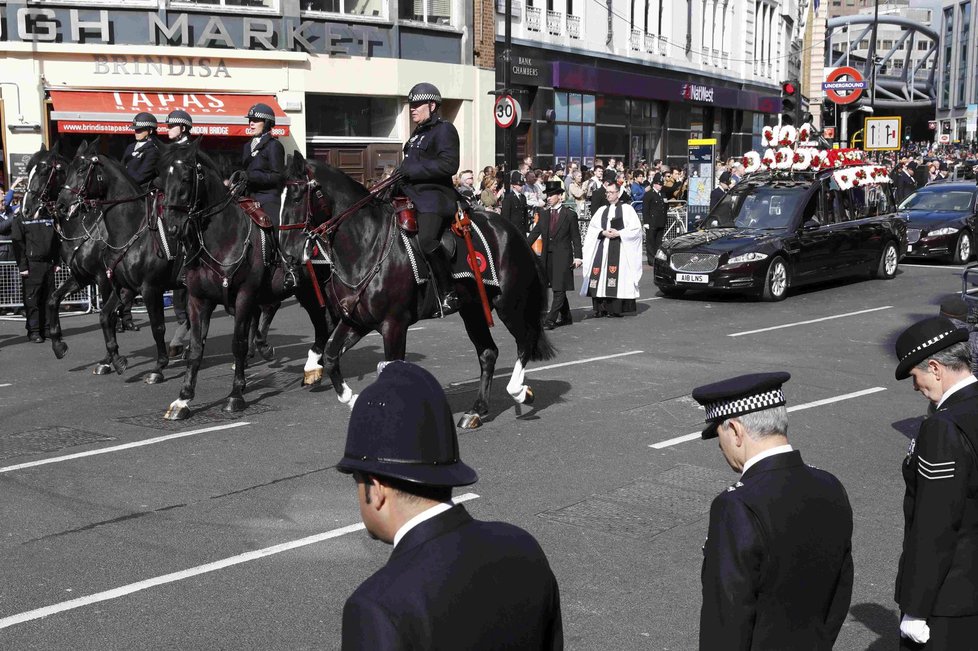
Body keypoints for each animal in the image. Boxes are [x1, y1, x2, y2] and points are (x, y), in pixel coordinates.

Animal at [158, 140, 338, 420]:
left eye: (186, 178)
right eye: (160, 180)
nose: (171, 227)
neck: (222, 237)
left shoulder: (244, 296)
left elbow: (238, 344)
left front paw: (235, 395)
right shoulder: (198, 299)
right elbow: (196, 348)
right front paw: (183, 399)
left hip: (312, 289)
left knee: (325, 322)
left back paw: (313, 367)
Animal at [282, 152, 556, 428]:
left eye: (296, 196)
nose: (289, 254)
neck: (366, 247)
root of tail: (514, 231)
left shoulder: (394, 324)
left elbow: (390, 366)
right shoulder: (356, 321)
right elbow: (330, 356)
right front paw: (350, 397)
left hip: (509, 304)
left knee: (525, 341)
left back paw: (520, 391)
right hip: (473, 309)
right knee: (488, 353)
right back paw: (477, 410)